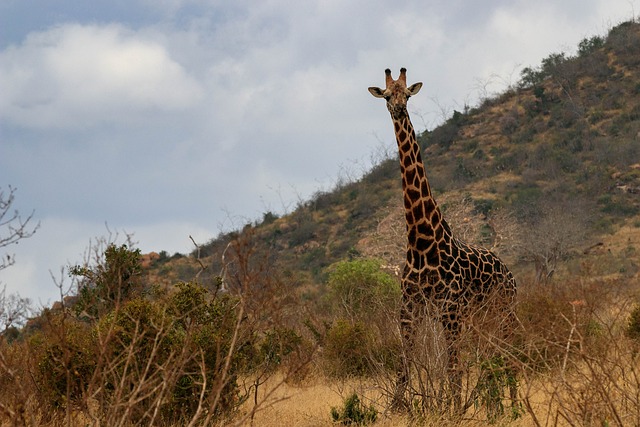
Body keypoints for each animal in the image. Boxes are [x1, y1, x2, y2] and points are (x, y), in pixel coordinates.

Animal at [368, 68, 516, 412]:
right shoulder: (410, 306)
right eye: (386, 95)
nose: (399, 110)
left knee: (511, 355)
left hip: (504, 310)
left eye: (408, 95)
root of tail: (509, 272)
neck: (422, 240)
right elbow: (406, 362)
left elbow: (452, 365)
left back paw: (514, 407)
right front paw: (398, 408)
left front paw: (453, 409)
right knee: (494, 355)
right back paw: (500, 406)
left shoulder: (450, 309)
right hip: (481, 318)